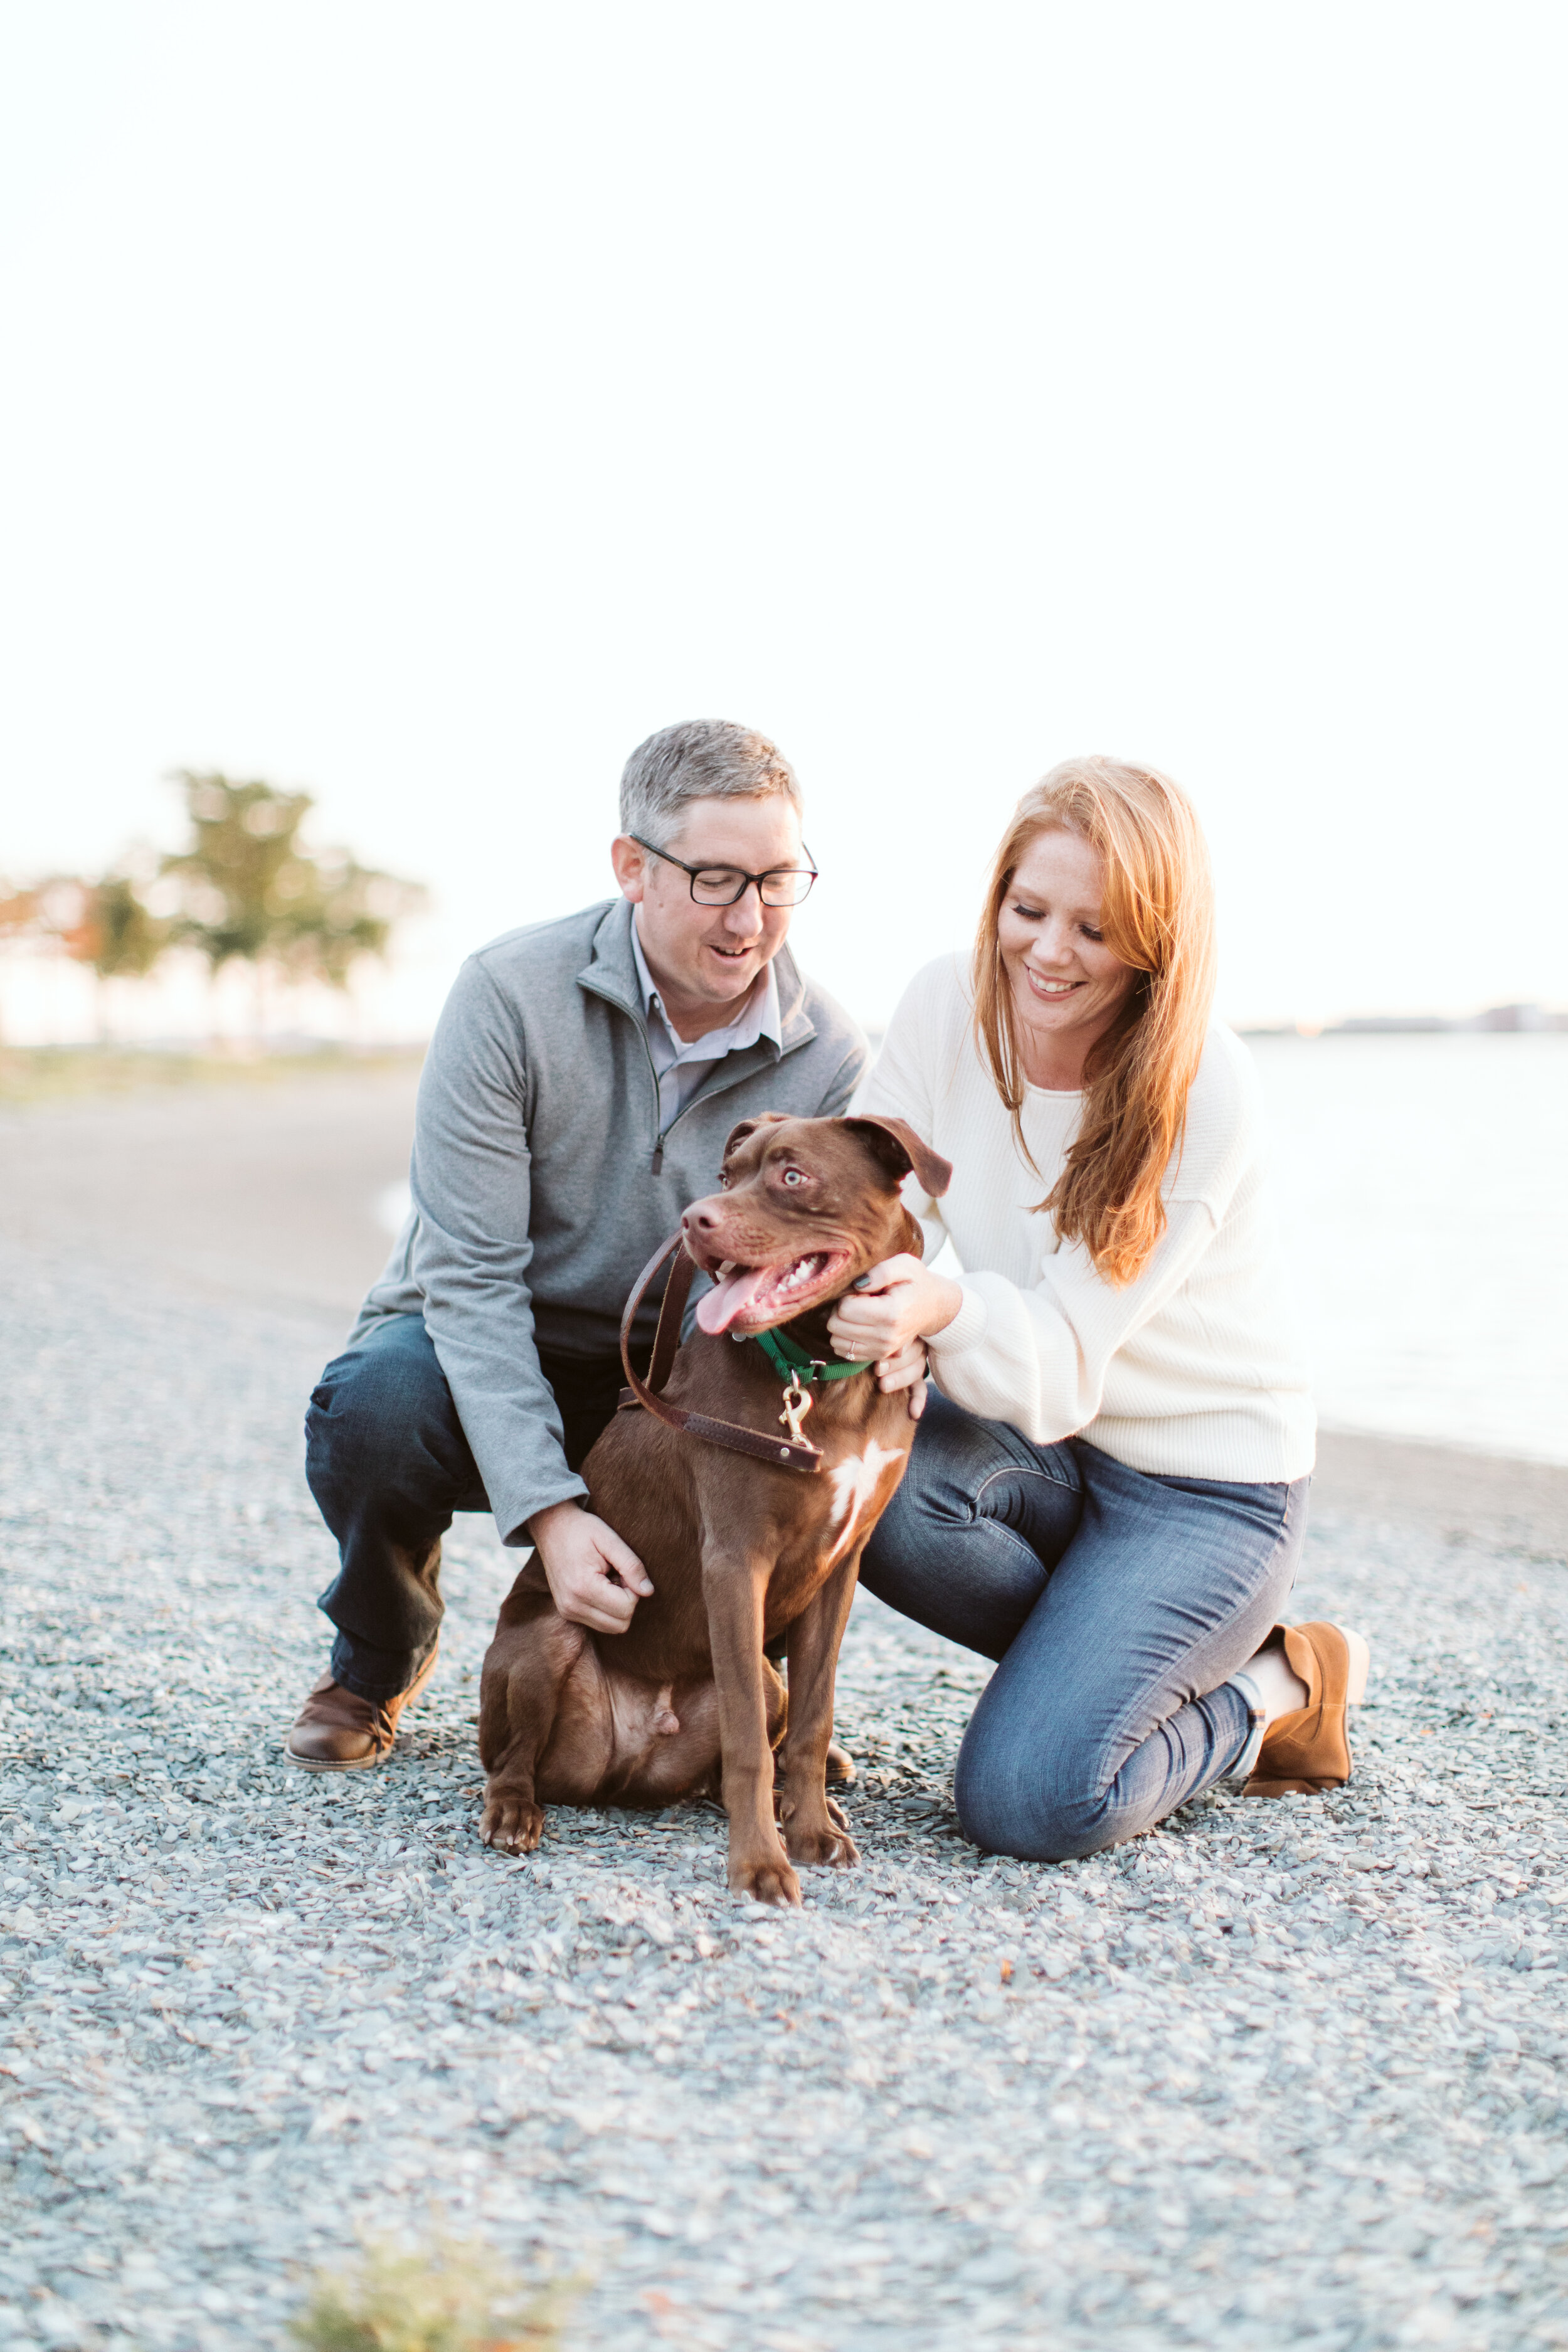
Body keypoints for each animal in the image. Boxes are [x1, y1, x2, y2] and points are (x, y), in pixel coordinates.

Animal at [472, 1110, 950, 1900]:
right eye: (728, 1175)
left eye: (792, 1175)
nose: (695, 1218)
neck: (820, 1374)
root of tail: (625, 1769)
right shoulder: (734, 1563)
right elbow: (751, 1740)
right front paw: (760, 1864)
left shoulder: (840, 1568)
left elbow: (812, 1722)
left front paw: (812, 1834)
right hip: (547, 1640)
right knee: (511, 1760)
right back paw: (513, 1812)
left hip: (761, 1673)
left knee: (747, 1740)